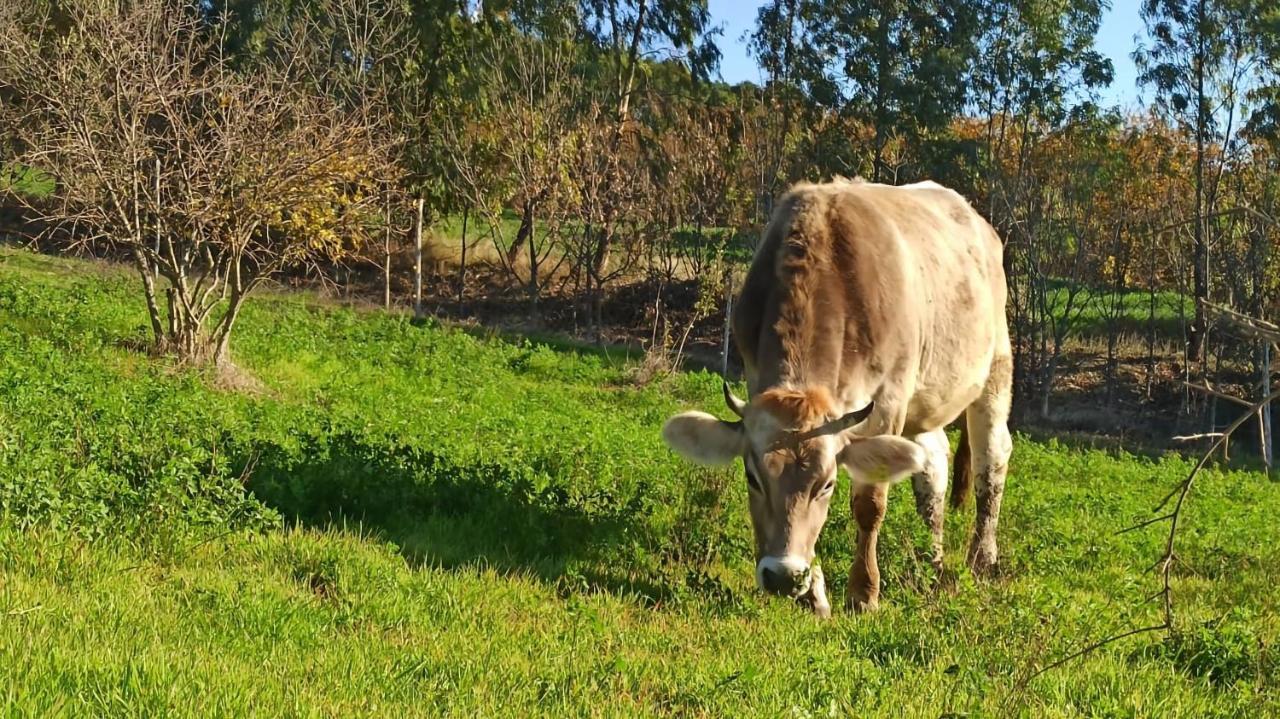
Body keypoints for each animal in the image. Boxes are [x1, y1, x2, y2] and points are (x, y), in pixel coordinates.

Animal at [660, 176, 1008, 614]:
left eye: (826, 485)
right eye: (753, 478)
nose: (783, 576)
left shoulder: (888, 400)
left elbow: (870, 502)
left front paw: (863, 592)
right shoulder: (756, 379)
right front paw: (814, 593)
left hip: (995, 366)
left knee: (991, 458)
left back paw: (983, 559)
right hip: (928, 395)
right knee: (932, 466)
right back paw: (933, 560)